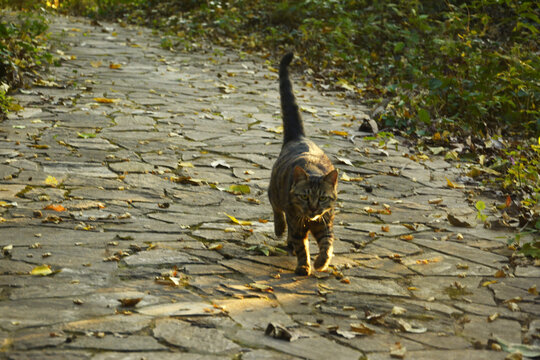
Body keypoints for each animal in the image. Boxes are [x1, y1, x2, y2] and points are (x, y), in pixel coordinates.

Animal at [266, 51, 338, 276]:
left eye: (322, 198)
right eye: (305, 196)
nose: (313, 208)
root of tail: (299, 137)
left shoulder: (325, 222)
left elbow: (327, 244)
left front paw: (321, 262)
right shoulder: (297, 224)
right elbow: (301, 247)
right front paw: (304, 265)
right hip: (275, 191)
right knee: (276, 209)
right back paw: (280, 228)